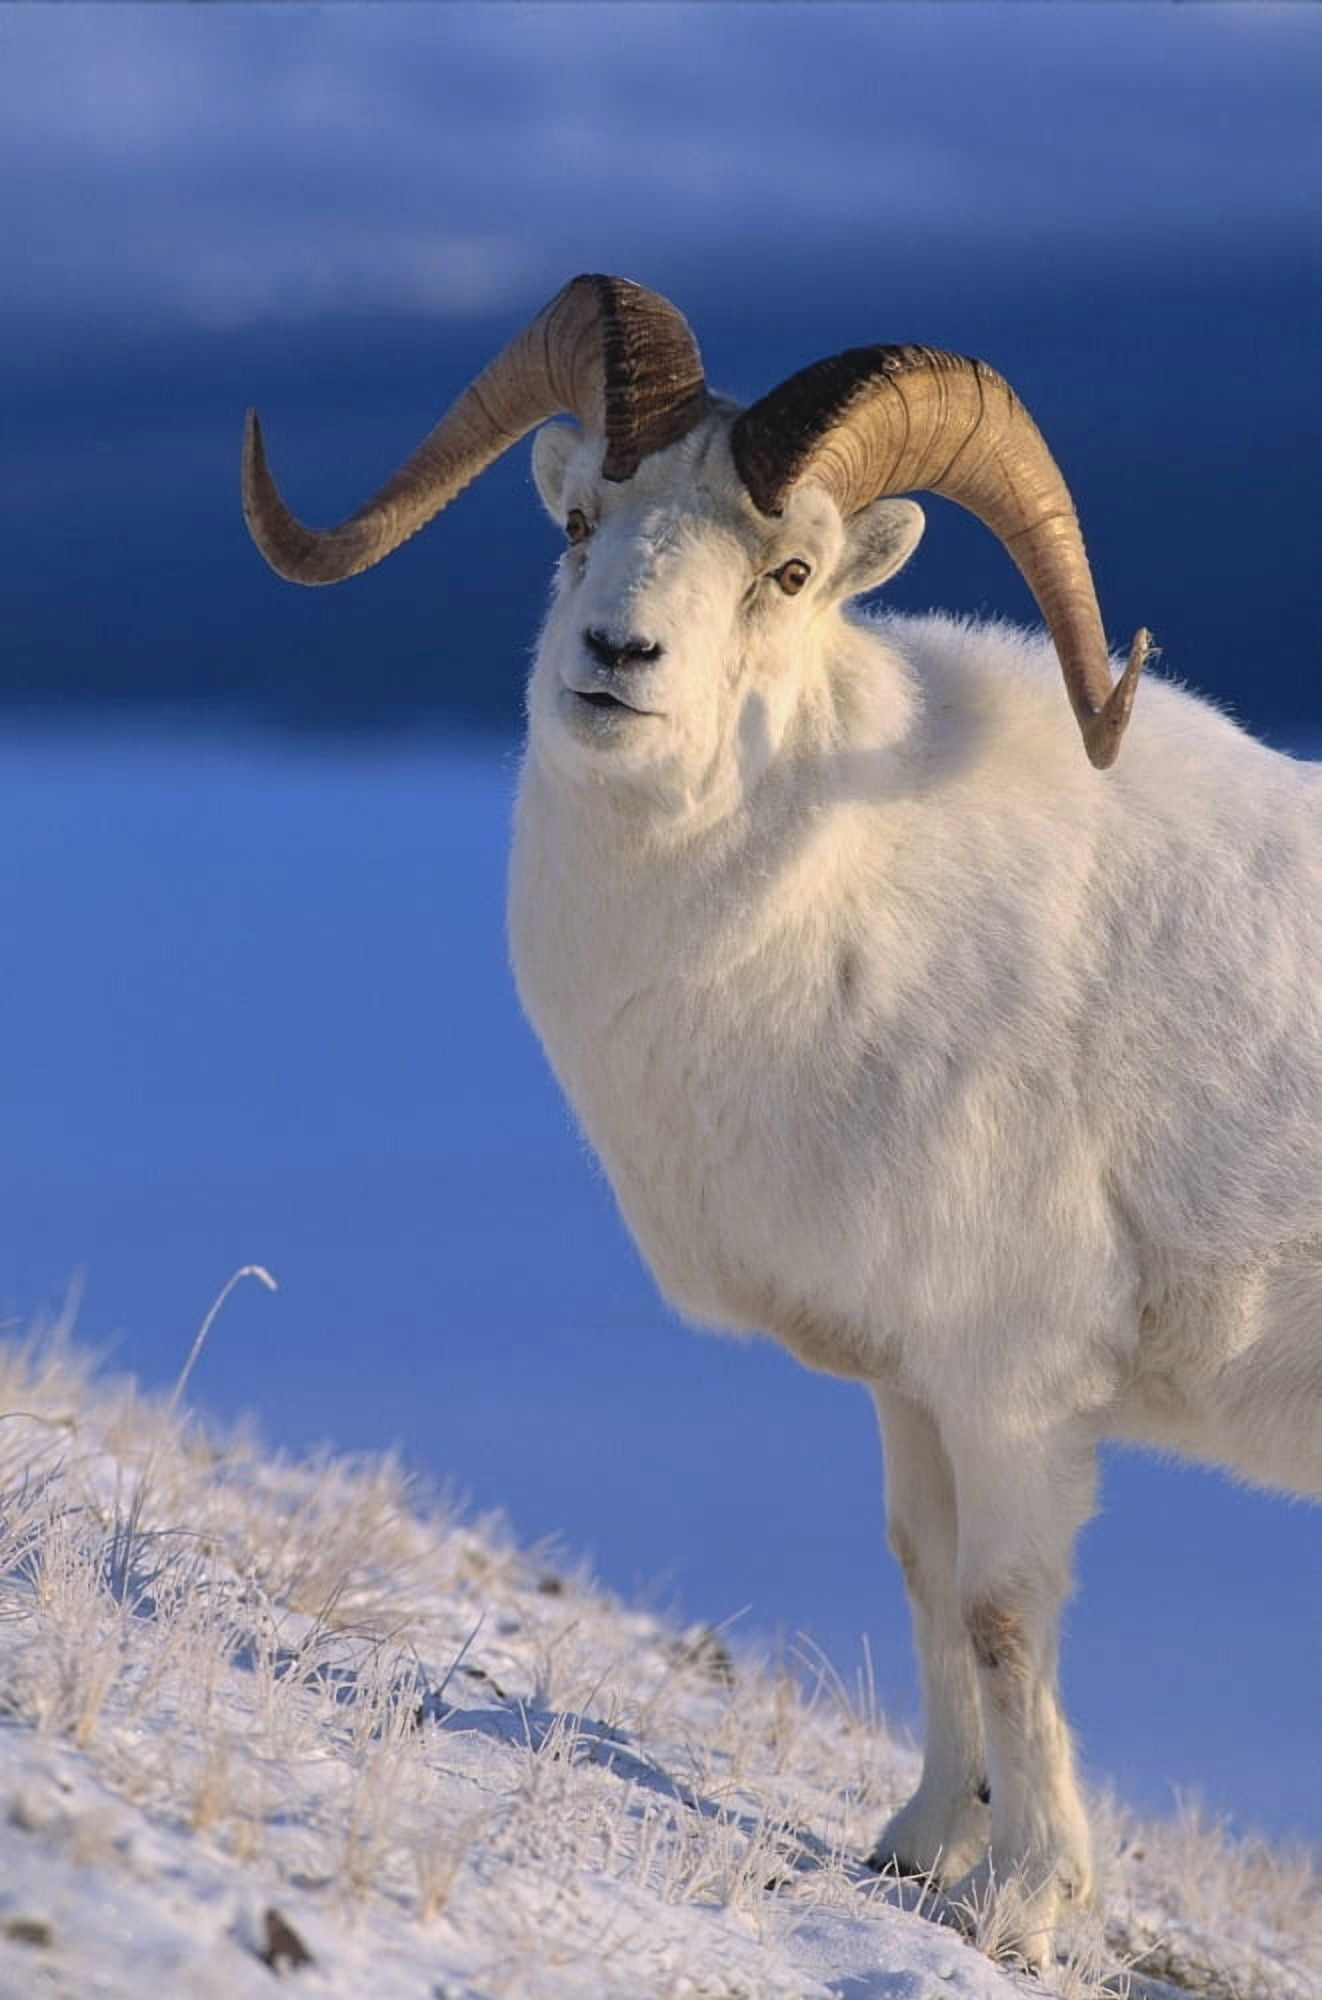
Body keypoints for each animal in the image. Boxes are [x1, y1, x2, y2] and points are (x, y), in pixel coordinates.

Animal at [242, 274, 1322, 1972]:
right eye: (579, 519)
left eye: (790, 570)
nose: (615, 656)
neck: (837, 906)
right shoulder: (913, 1386)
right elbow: (927, 1588)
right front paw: (921, 1852)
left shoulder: (1014, 1388)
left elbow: (1004, 1613)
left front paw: (1024, 1904)